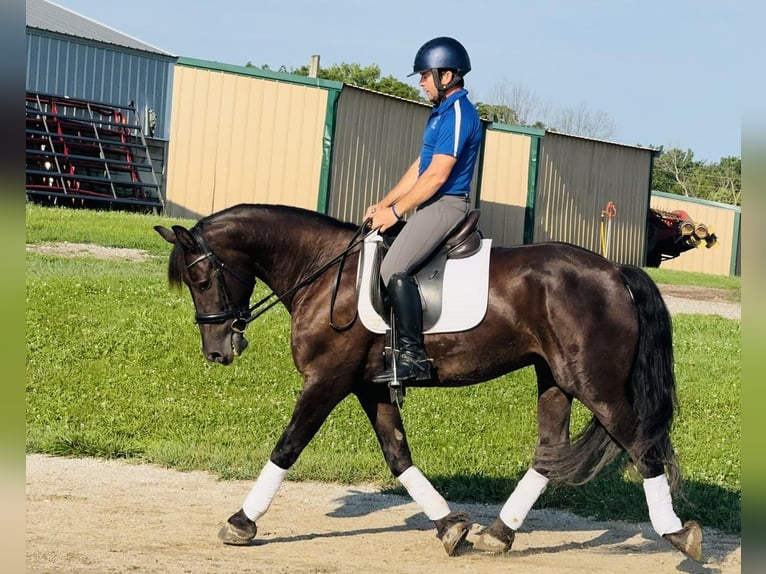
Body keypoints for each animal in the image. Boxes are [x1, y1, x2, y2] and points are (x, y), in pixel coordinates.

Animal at [154, 206, 704, 564]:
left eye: (201, 280)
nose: (218, 351)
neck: (325, 272)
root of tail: (615, 272)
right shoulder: (370, 387)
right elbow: (398, 456)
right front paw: (451, 526)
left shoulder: (326, 381)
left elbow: (287, 447)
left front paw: (241, 523)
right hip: (556, 379)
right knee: (549, 453)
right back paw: (498, 534)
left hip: (597, 386)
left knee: (641, 446)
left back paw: (680, 536)